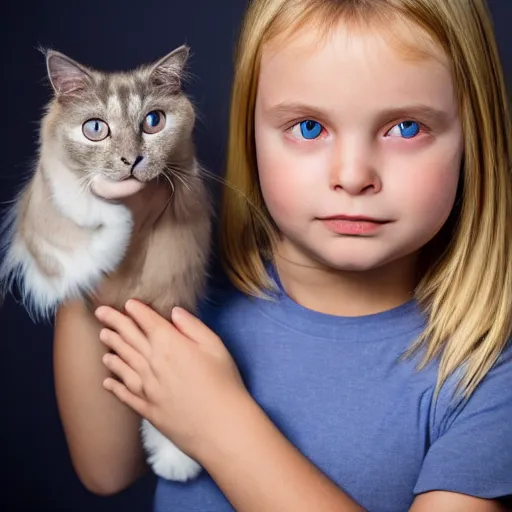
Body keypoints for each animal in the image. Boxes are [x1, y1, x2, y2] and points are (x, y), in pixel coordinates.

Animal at [0, 46, 210, 482]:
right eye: (95, 129)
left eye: (153, 122)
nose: (133, 160)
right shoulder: (45, 196)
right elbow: (78, 217)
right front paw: (108, 231)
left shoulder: (174, 286)